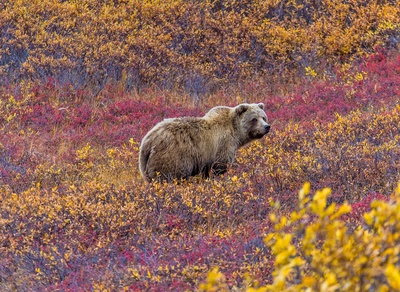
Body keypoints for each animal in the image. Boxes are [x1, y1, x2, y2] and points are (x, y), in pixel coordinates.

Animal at [138, 101, 272, 181]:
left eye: (263, 117)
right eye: (254, 119)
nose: (267, 127)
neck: (236, 132)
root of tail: (148, 140)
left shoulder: (206, 159)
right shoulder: (223, 145)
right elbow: (219, 166)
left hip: (145, 164)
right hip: (172, 157)